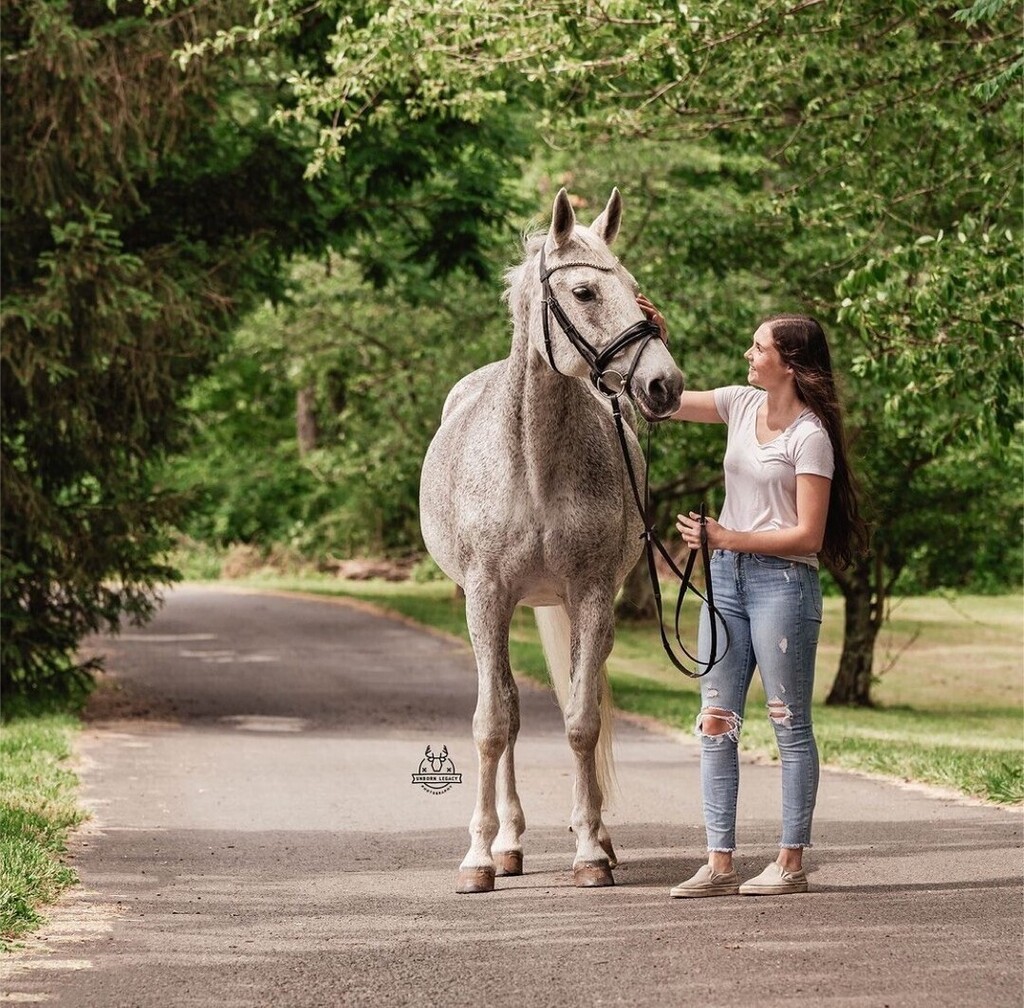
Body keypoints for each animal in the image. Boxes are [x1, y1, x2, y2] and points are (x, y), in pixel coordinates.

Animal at [419, 187, 684, 893]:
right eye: (586, 291)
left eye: (636, 288)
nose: (664, 385)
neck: (533, 461)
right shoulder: (486, 598)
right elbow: (493, 724)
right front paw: (479, 857)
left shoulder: (590, 596)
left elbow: (582, 721)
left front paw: (591, 848)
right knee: (508, 712)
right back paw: (509, 842)